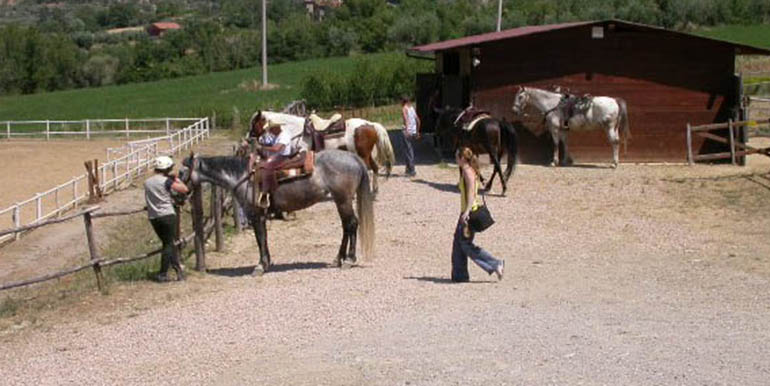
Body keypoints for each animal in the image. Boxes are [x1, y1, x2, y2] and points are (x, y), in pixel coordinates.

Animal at [180, 151, 372, 274]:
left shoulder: (255, 215)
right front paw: (267, 263)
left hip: (343, 200)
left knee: (351, 224)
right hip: (341, 201)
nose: (179, 195)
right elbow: (264, 238)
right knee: (346, 227)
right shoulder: (260, 216)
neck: (242, 175)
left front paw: (260, 266)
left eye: (182, 172)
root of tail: (353, 157)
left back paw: (349, 260)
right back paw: (338, 259)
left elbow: (259, 239)